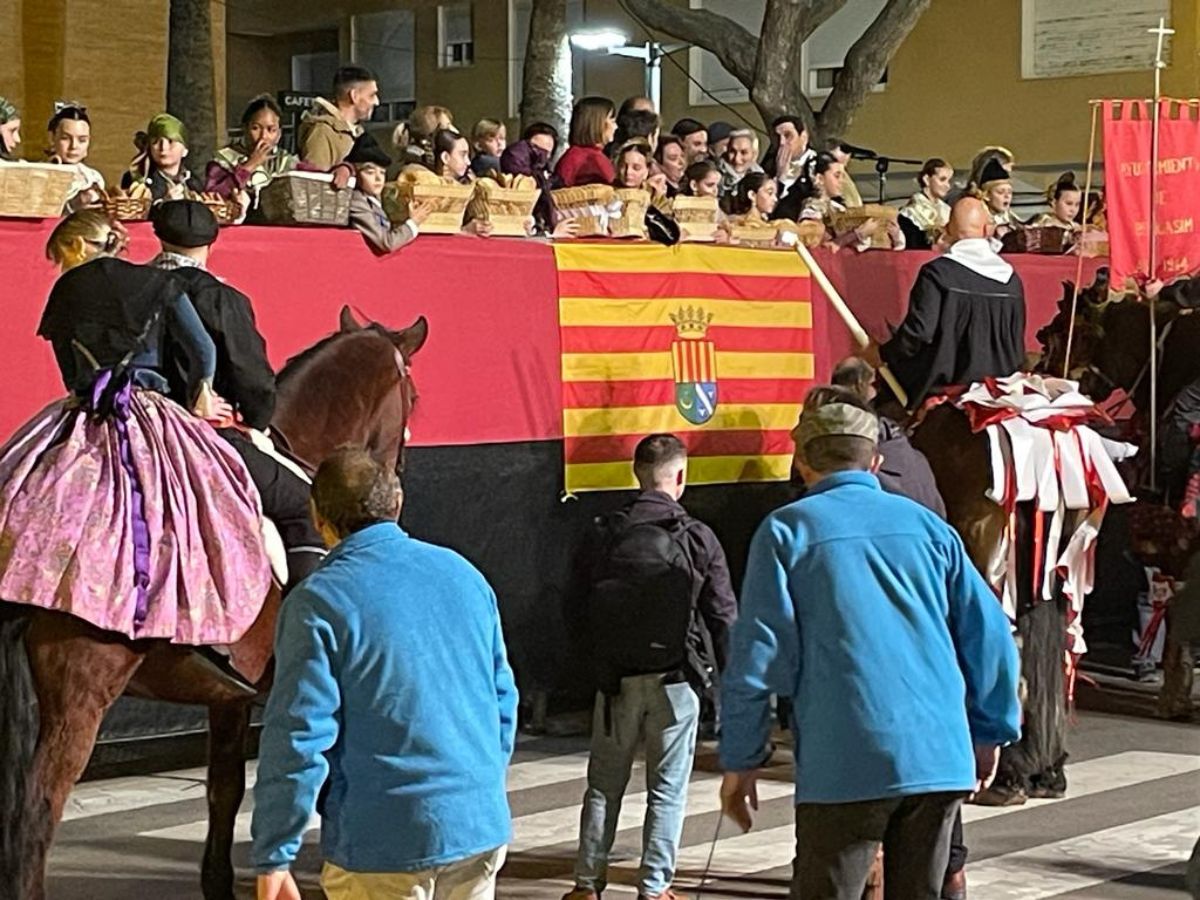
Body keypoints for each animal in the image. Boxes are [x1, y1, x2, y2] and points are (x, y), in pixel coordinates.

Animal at [0, 307, 429, 897]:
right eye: (413, 396)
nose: (398, 479)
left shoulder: (229, 698)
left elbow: (223, 789)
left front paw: (219, 881)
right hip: (80, 697)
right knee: (39, 809)